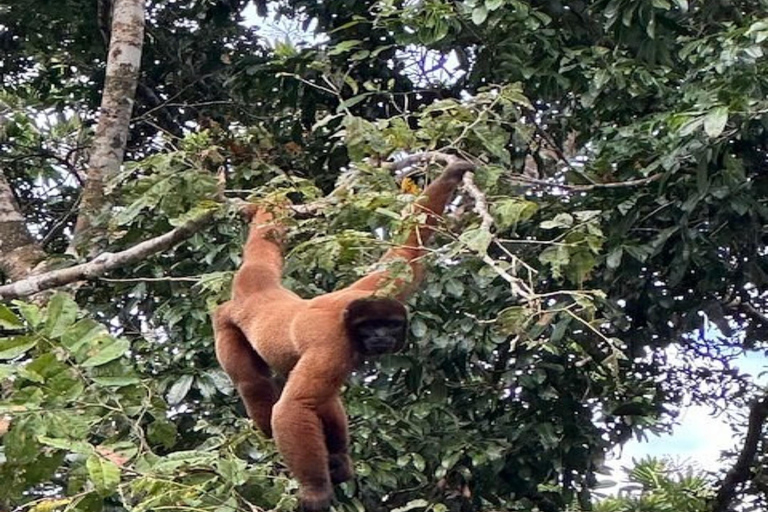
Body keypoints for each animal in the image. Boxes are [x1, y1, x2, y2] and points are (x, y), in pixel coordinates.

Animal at [213, 158, 472, 510]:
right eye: (369, 327)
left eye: (390, 324)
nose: (381, 336)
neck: (348, 319)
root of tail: (259, 292)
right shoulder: (333, 345)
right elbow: (294, 406)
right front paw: (315, 492)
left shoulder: (381, 289)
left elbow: (406, 251)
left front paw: (451, 176)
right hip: (226, 326)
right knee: (254, 383)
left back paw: (338, 460)